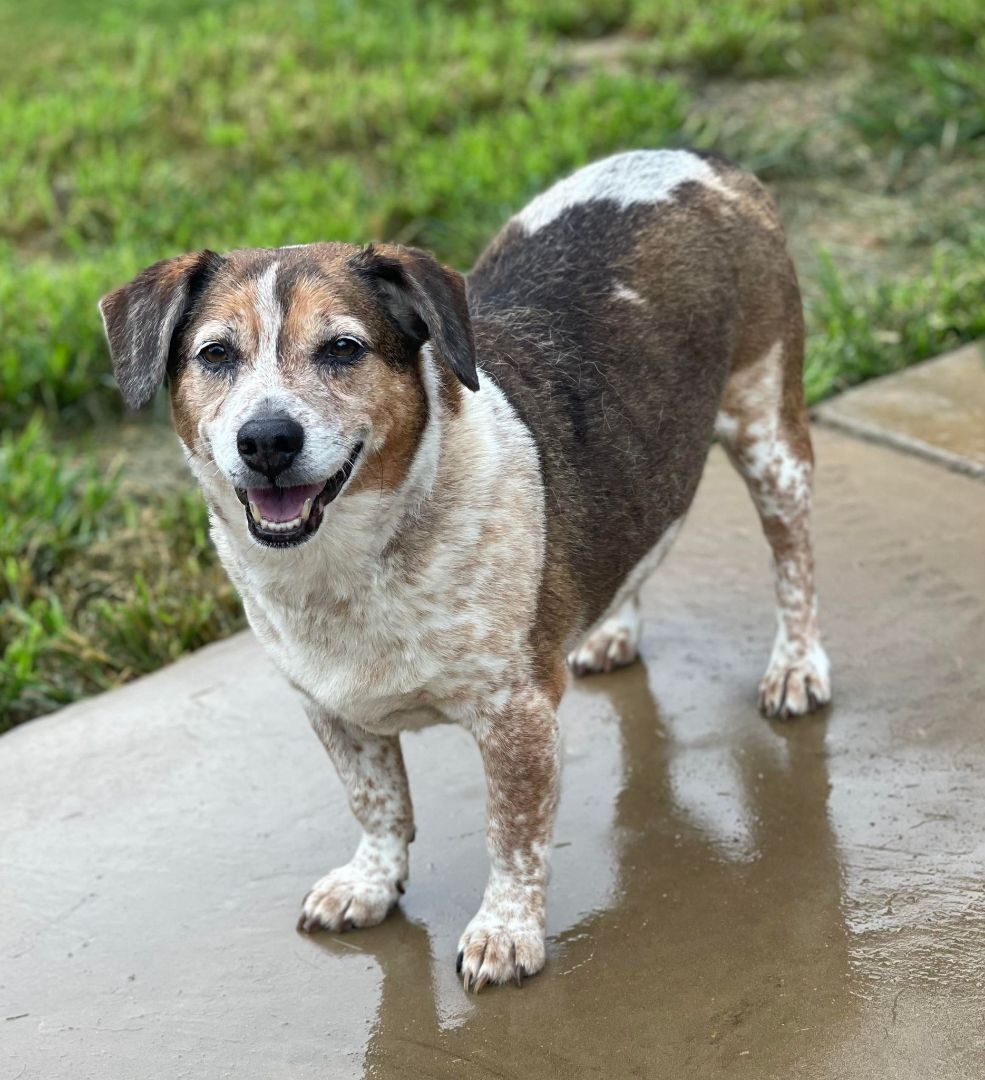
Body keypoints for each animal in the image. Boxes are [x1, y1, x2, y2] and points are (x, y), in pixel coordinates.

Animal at [99, 147, 829, 989]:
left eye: (342, 348)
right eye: (215, 355)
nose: (267, 439)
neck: (352, 563)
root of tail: (696, 158)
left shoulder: (515, 713)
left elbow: (512, 832)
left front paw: (506, 932)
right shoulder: (331, 710)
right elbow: (376, 803)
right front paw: (372, 882)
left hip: (768, 434)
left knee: (793, 558)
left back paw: (796, 666)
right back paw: (612, 627)